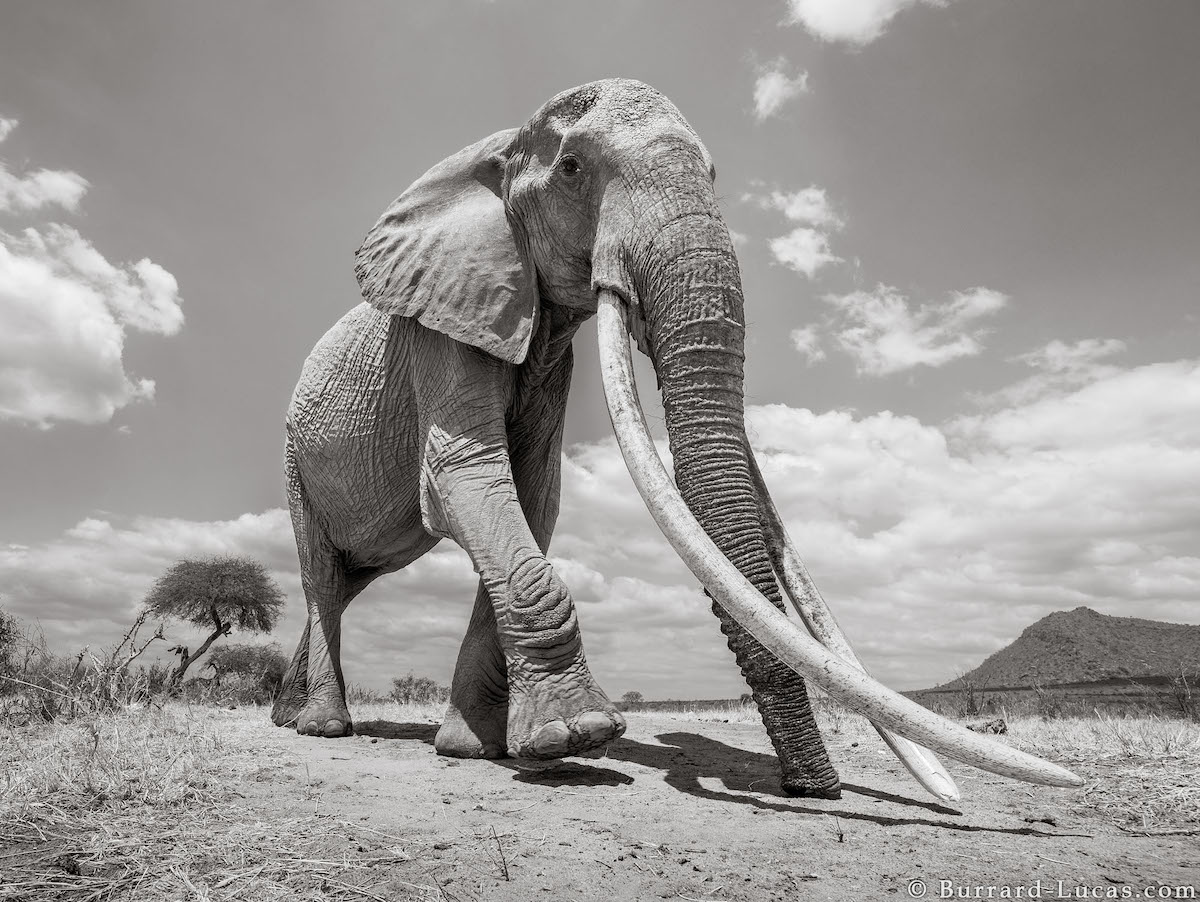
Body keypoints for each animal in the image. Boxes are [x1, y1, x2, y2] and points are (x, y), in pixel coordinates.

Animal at [272, 75, 1080, 796]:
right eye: (573, 169)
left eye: (716, 175)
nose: (811, 788)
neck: (495, 150)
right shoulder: (441, 328)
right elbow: (466, 477)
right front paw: (579, 736)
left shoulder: (546, 352)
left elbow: (532, 497)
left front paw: (477, 749)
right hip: (293, 461)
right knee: (322, 575)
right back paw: (322, 727)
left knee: (346, 581)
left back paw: (289, 716)